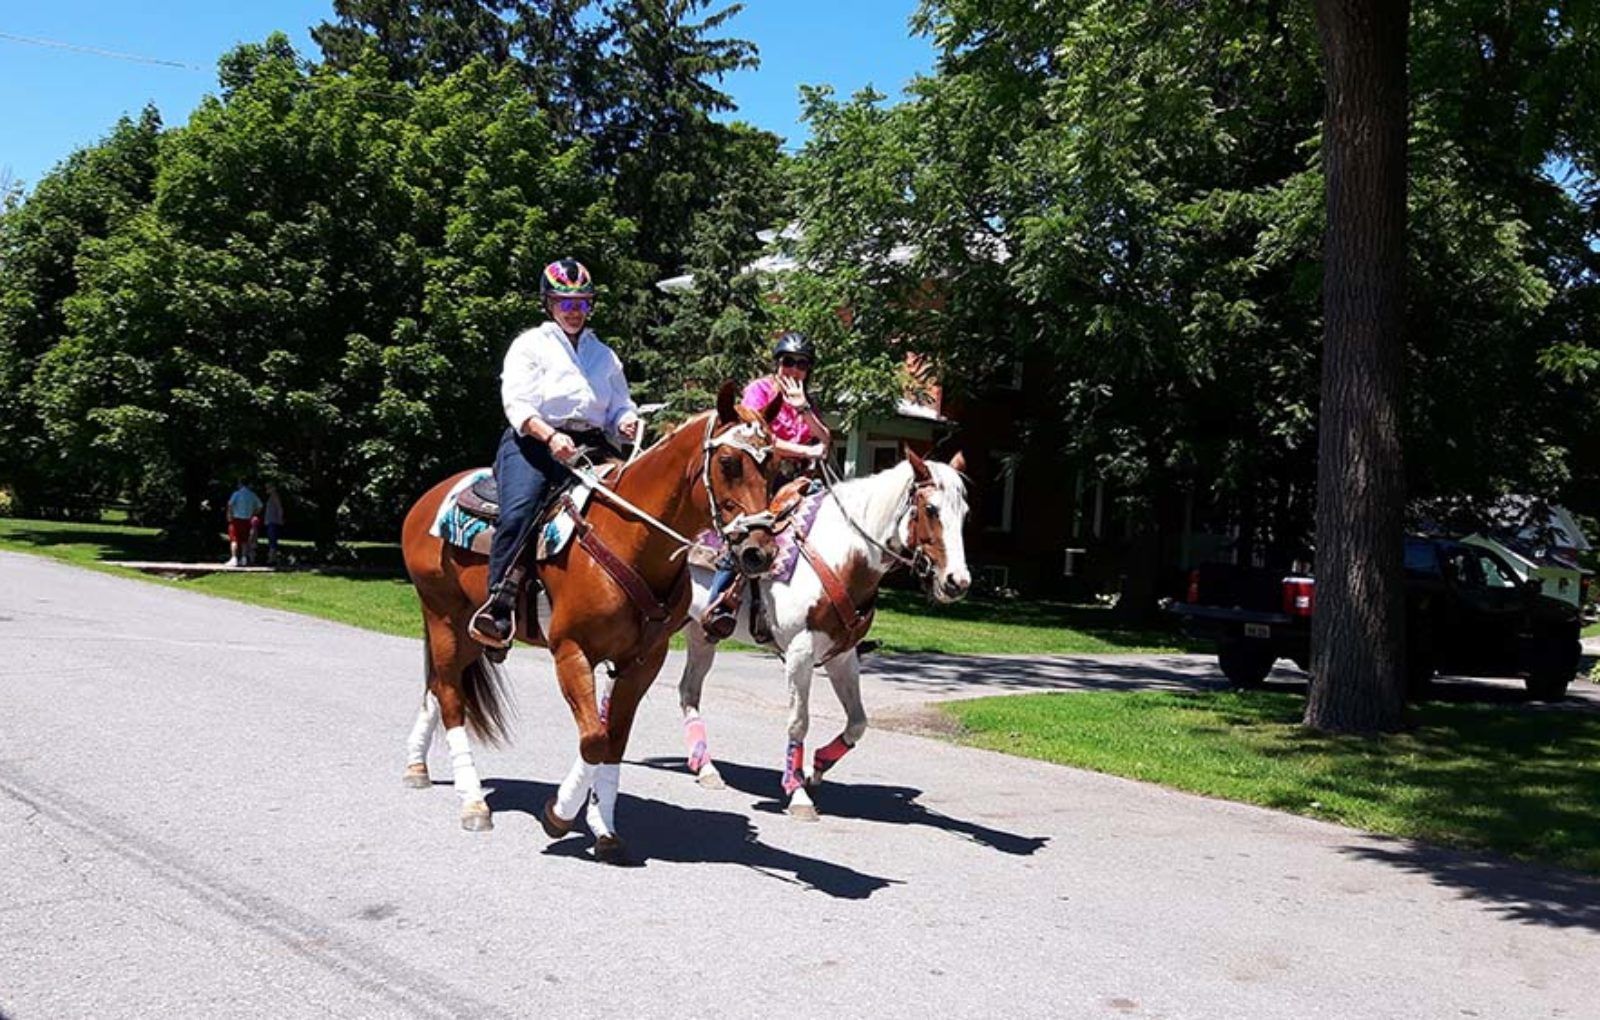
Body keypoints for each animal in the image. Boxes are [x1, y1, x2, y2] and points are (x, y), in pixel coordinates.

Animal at [399, 383, 785, 861]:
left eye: (776, 465)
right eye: (730, 462)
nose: (759, 552)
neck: (631, 541)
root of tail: (426, 500)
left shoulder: (643, 661)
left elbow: (613, 739)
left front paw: (604, 826)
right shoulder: (571, 650)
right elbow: (595, 739)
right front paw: (560, 814)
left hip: (469, 632)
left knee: (438, 687)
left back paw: (416, 766)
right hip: (442, 617)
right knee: (451, 699)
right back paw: (473, 803)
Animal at [674, 449, 972, 818]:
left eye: (965, 513)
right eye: (931, 509)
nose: (957, 582)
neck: (842, 557)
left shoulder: (842, 657)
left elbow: (858, 722)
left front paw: (815, 769)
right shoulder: (800, 654)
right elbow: (798, 721)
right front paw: (797, 793)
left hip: (700, 635)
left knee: (688, 692)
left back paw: (706, 769)